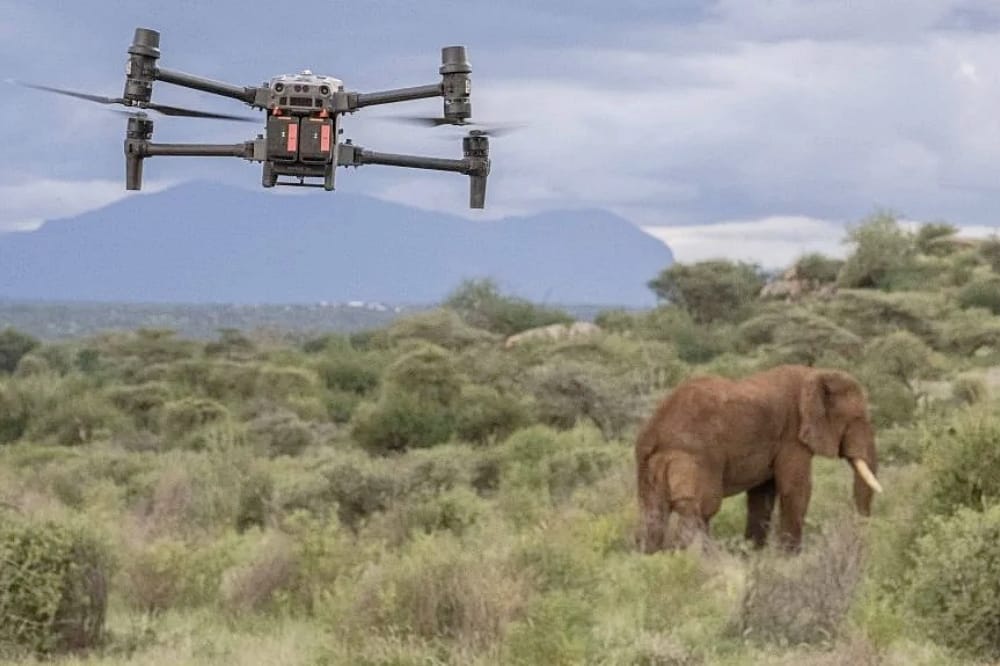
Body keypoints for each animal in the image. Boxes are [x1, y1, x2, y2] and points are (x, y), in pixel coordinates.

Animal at [635, 364, 882, 553]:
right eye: (856, 419)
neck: (816, 374)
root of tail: (655, 432)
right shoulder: (792, 436)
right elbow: (796, 488)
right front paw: (790, 559)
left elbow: (761, 495)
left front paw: (753, 555)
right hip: (695, 456)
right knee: (700, 507)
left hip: (648, 465)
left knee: (653, 512)